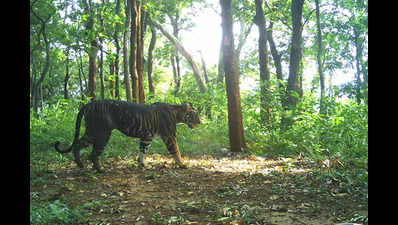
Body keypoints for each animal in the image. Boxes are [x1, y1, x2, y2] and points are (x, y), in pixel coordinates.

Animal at [54, 100, 201, 172]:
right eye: (195, 115)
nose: (200, 123)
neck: (177, 114)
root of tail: (89, 103)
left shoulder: (146, 138)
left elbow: (143, 151)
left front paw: (142, 164)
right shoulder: (169, 136)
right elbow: (176, 151)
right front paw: (182, 164)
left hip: (91, 132)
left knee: (78, 144)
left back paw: (79, 164)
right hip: (102, 133)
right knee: (93, 153)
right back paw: (100, 169)